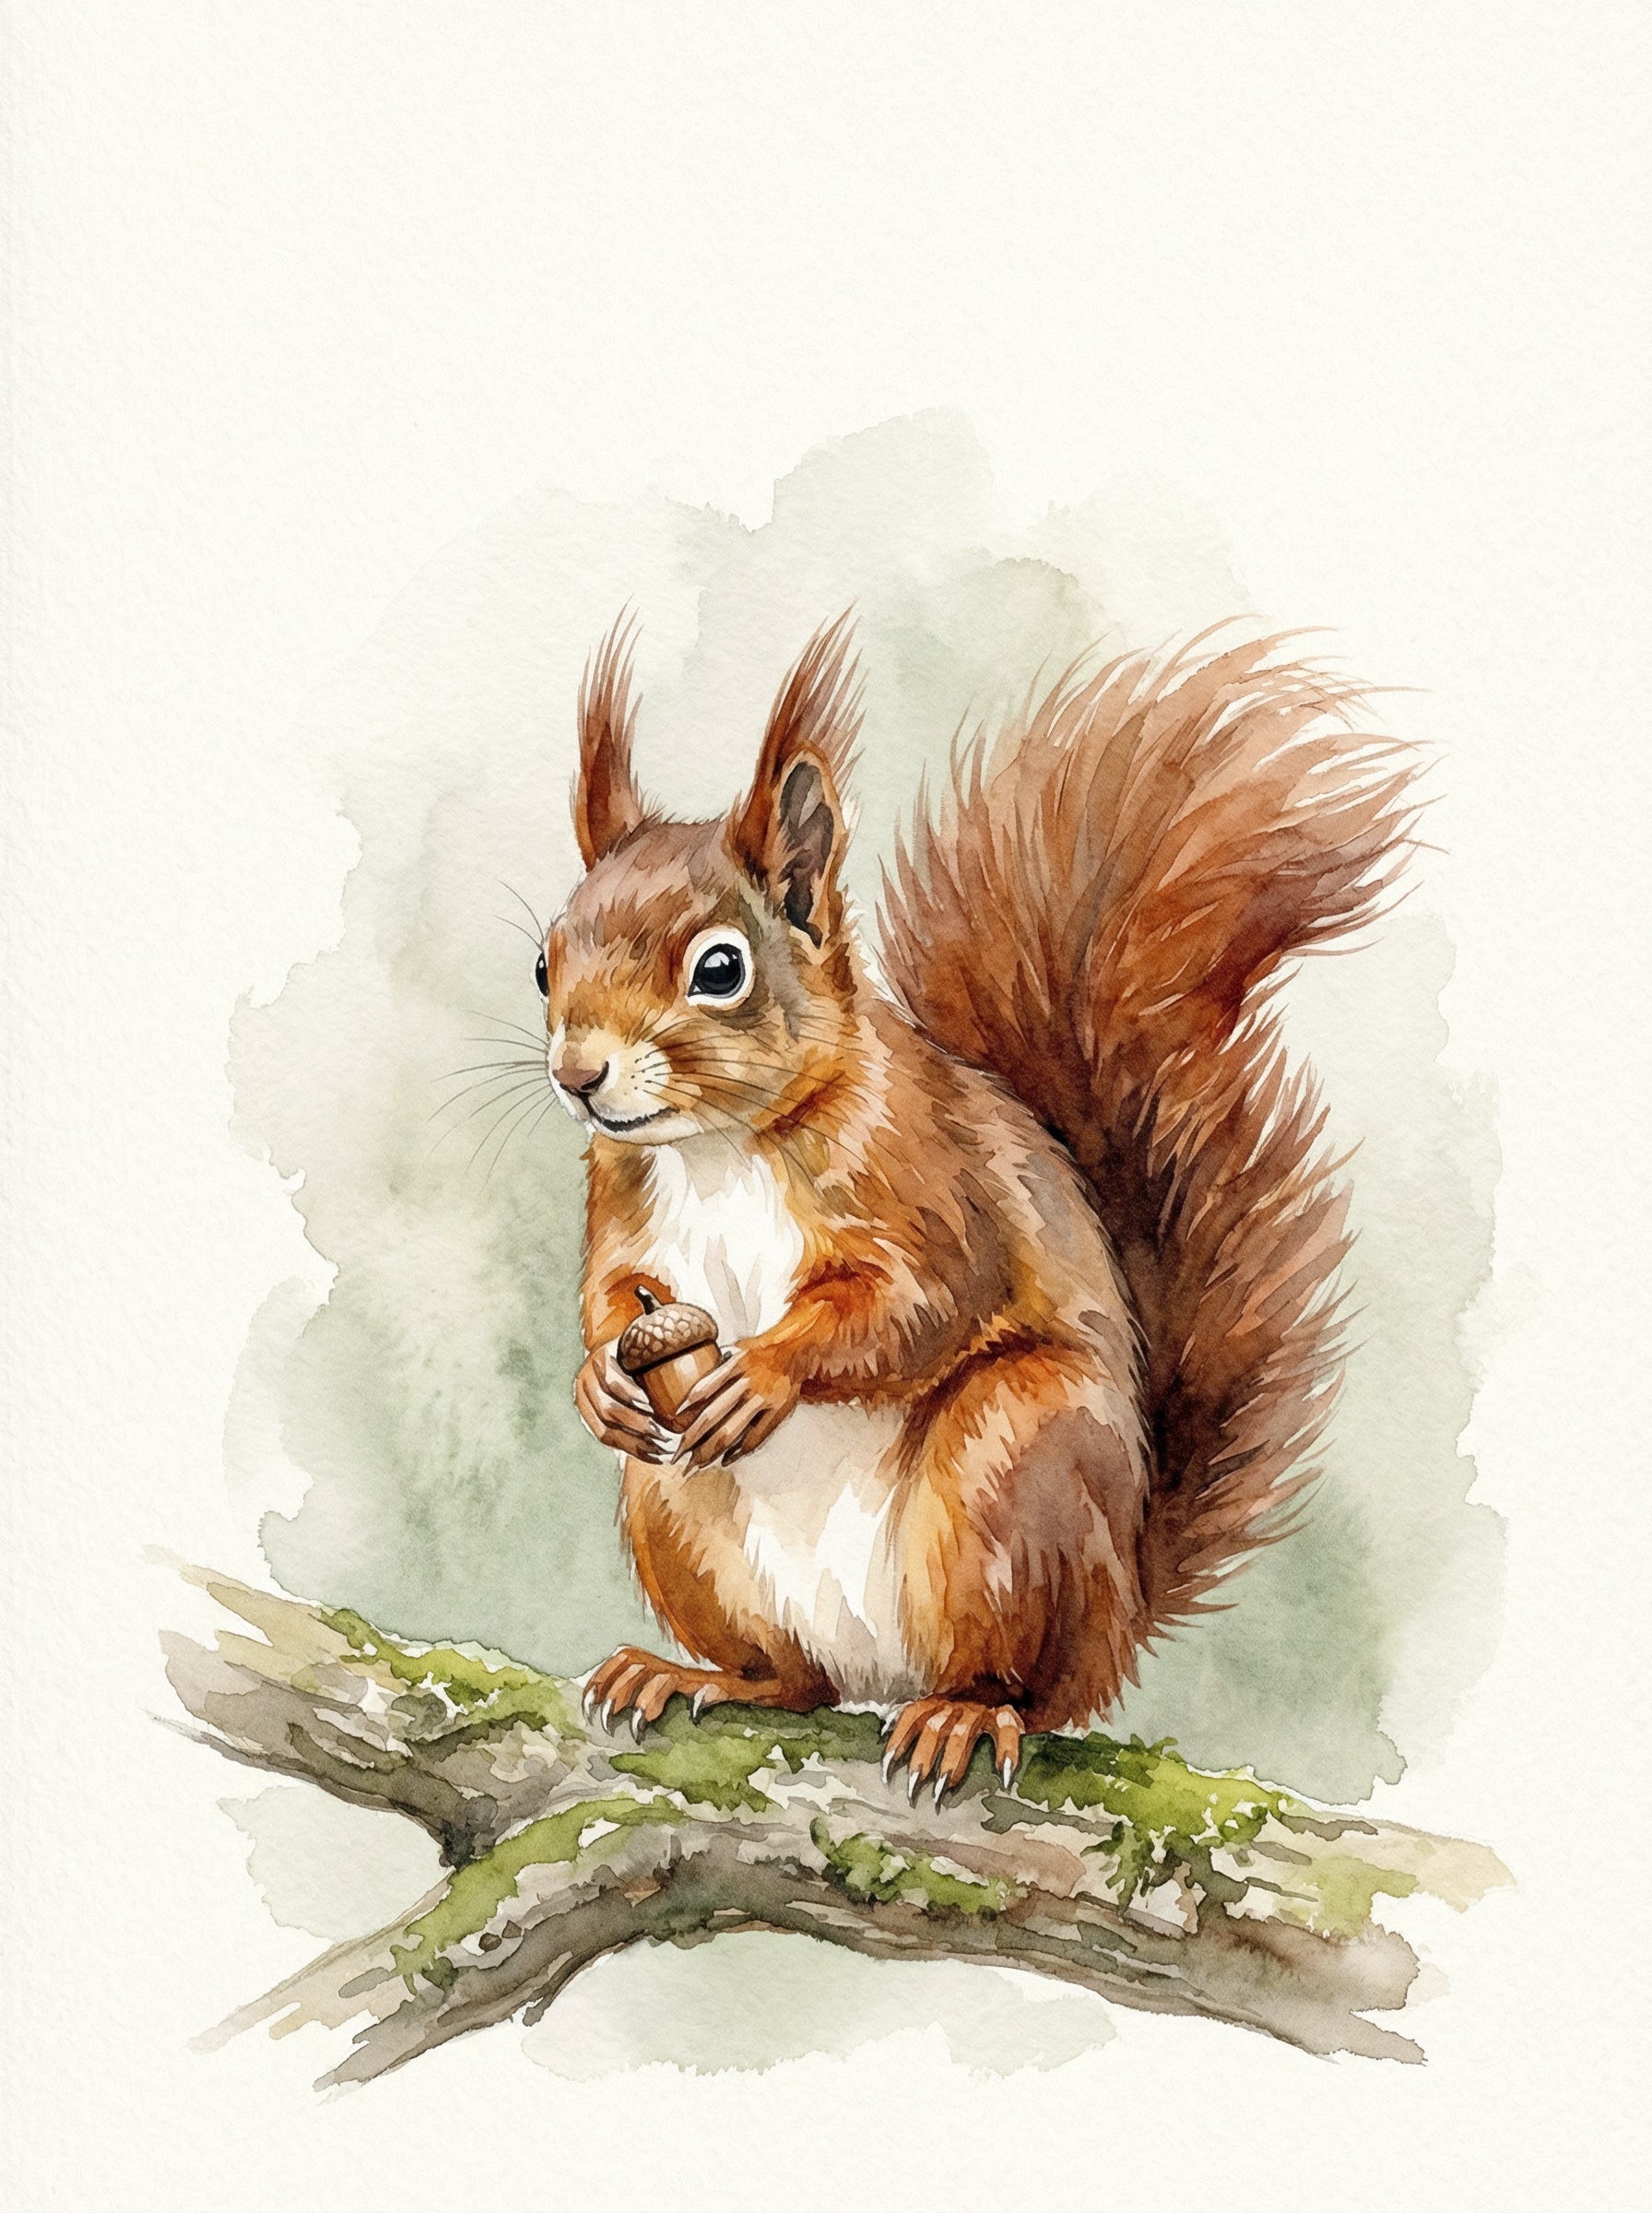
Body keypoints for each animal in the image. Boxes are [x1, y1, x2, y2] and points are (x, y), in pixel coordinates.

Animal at [541, 612, 1413, 1802]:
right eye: (543, 963)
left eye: (719, 970)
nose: (577, 1075)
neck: (717, 1145)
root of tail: (1124, 1608)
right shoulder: (623, 1208)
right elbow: (608, 1295)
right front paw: (598, 1383)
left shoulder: (933, 1184)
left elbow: (919, 1300)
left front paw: (765, 1371)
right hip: (675, 1510)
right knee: (794, 1679)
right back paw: (696, 1675)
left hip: (1015, 1461)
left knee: (1029, 1689)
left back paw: (963, 1713)